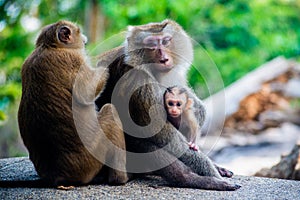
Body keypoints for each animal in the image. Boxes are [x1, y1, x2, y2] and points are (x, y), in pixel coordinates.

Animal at [0, 20, 127, 188]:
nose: (85, 39)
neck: (49, 46)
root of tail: (58, 176)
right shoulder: (72, 59)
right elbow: (86, 91)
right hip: (93, 155)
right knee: (110, 112)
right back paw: (120, 179)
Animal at [95, 19, 240, 191]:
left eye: (165, 41)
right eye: (152, 45)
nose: (164, 58)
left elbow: (193, 109)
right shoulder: (139, 83)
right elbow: (162, 135)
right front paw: (211, 172)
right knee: (141, 139)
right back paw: (189, 179)